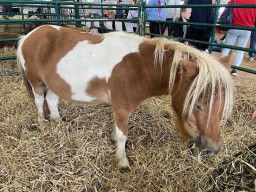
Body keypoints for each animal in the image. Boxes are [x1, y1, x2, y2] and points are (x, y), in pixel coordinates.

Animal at [16, 24, 234, 169]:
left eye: (222, 105)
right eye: (197, 104)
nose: (213, 150)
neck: (140, 67)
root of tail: (28, 36)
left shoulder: (118, 107)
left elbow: (116, 130)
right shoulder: (122, 108)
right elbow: (123, 135)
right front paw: (122, 161)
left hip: (55, 83)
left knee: (51, 101)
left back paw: (57, 122)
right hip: (36, 82)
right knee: (39, 101)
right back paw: (42, 122)